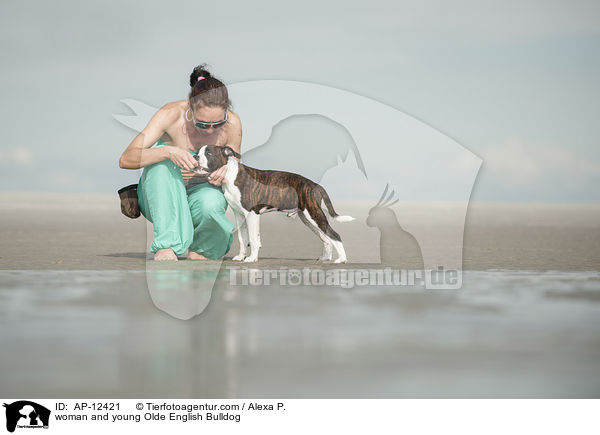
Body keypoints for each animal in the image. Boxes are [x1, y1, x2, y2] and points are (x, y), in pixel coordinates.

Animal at [192, 146, 354, 262]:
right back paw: (326, 258)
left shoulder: (252, 214)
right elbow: (243, 238)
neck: (230, 175)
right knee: (325, 238)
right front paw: (241, 257)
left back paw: (342, 259)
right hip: (308, 218)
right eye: (199, 151)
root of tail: (315, 185)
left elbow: (253, 238)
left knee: (334, 235)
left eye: (209, 153)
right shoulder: (240, 215)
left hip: (314, 214)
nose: (195, 156)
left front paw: (251, 258)